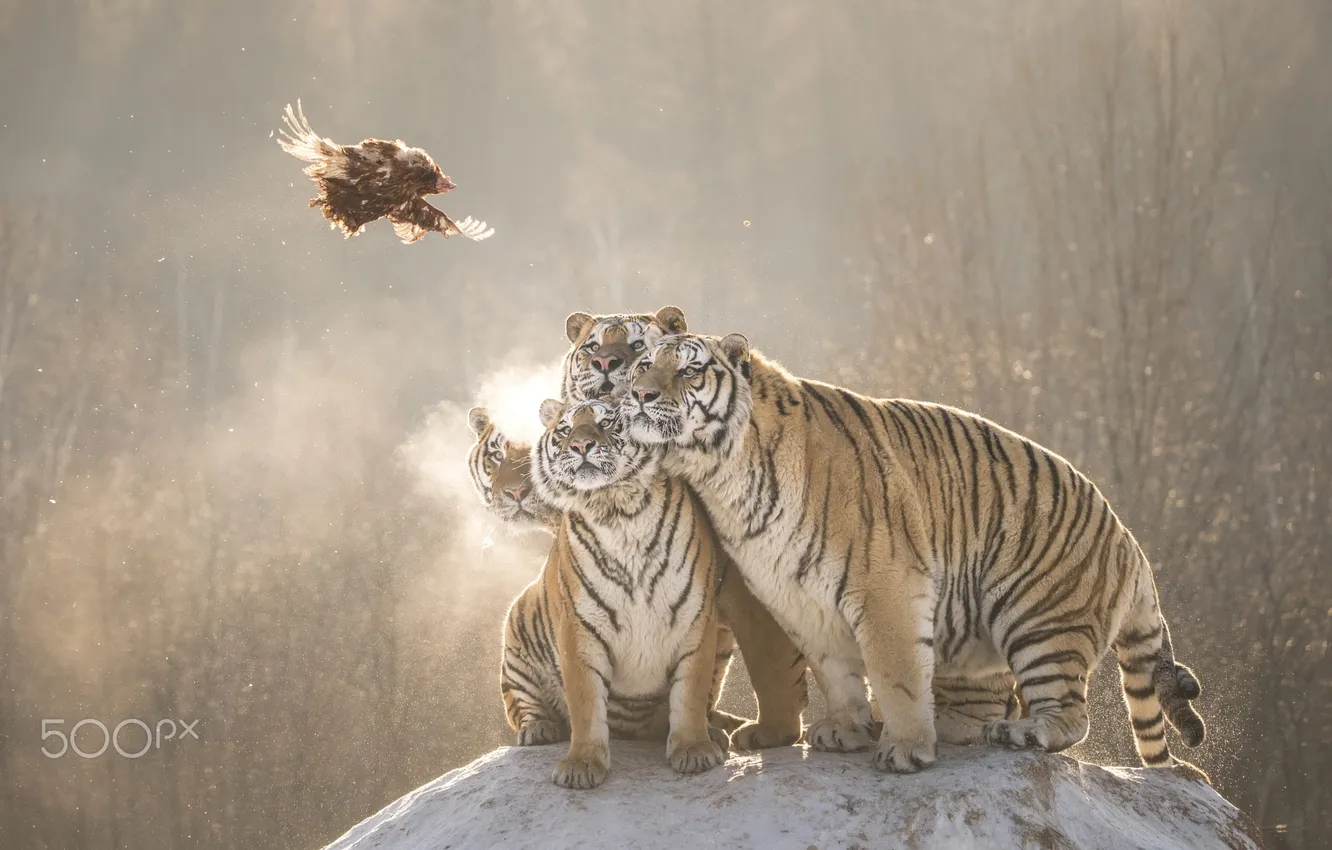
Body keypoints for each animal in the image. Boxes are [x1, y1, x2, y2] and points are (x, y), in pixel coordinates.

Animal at [517, 396, 728, 788]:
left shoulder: (696, 619)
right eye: (565, 429)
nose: (580, 446)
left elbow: (691, 692)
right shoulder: (579, 630)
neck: (618, 510)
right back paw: (538, 729)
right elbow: (585, 703)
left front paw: (694, 749)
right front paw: (582, 765)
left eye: (607, 422)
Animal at [621, 330, 1206, 775]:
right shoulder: (798, 597)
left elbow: (895, 671)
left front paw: (903, 749)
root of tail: (1130, 541)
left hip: (1039, 616)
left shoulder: (887, 587)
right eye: (644, 366)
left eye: (689, 371)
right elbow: (833, 674)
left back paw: (1019, 732)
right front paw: (845, 730)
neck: (723, 479)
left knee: (1068, 713)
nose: (642, 396)